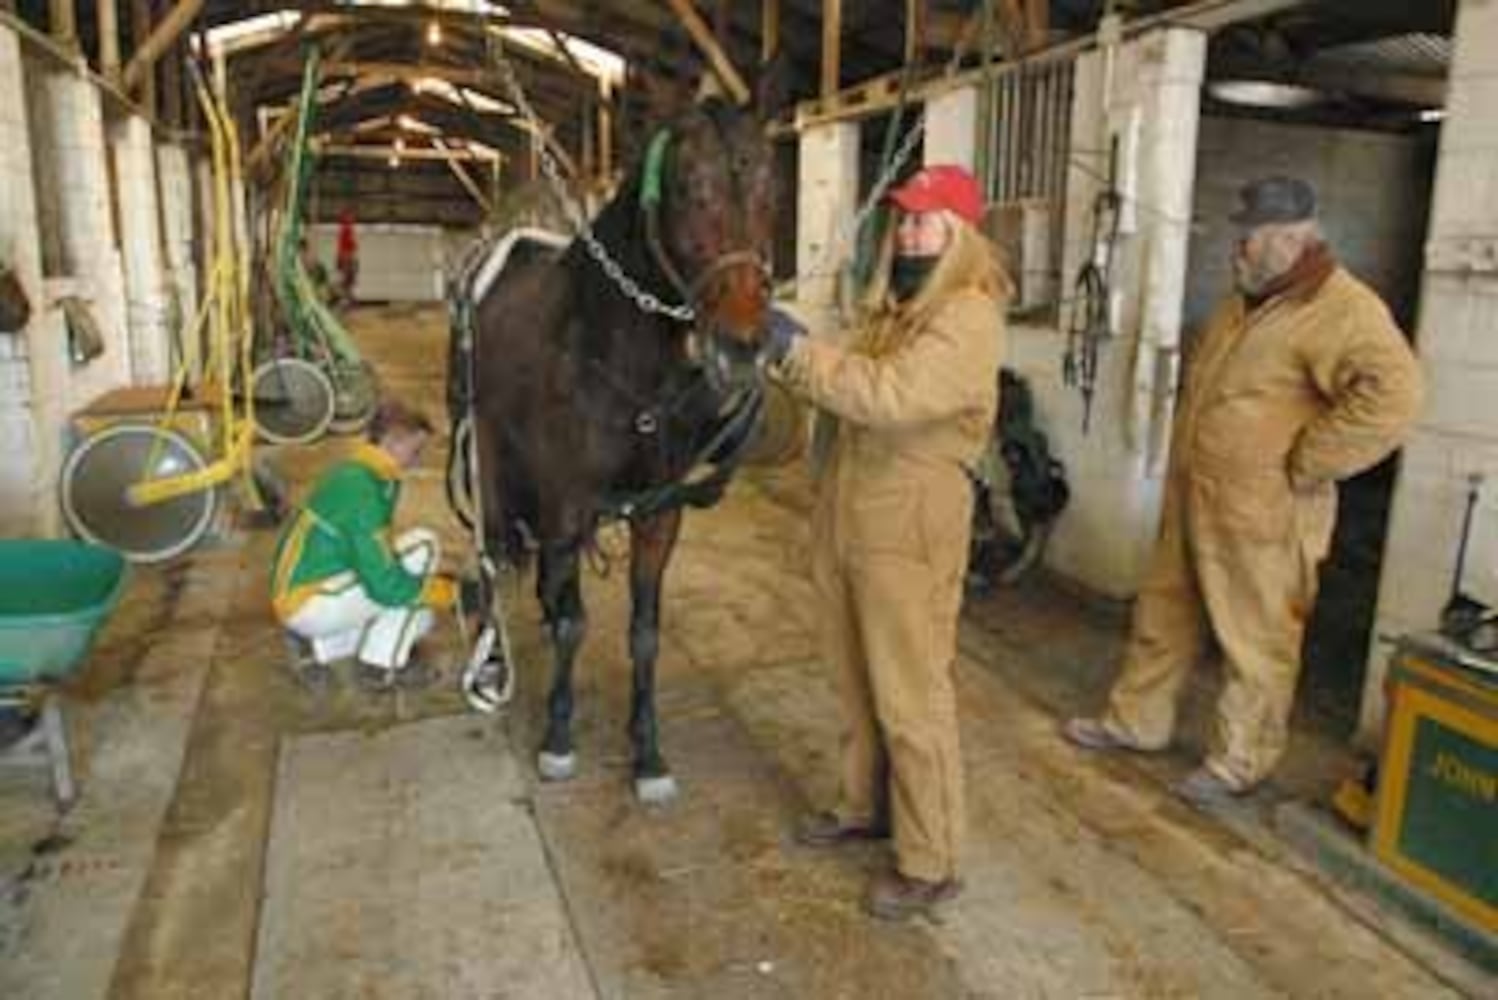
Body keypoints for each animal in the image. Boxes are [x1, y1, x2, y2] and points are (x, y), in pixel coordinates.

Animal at [452, 80, 784, 802]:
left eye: (770, 187)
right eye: (688, 186)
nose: (741, 348)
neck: (609, 352)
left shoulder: (658, 513)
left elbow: (644, 632)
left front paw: (648, 751)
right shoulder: (567, 503)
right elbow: (575, 623)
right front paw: (558, 736)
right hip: (490, 458)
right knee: (492, 555)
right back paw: (491, 659)